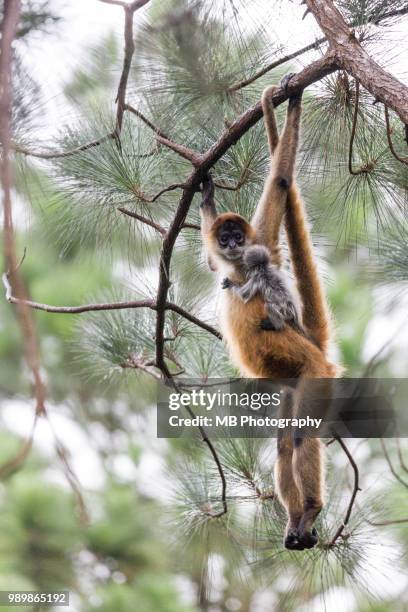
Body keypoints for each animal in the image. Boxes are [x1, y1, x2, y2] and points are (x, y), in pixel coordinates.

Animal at [199, 75, 336, 548]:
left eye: (238, 236)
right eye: (225, 237)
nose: (231, 244)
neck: (241, 267)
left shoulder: (262, 243)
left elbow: (279, 181)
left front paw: (293, 100)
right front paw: (206, 194)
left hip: (314, 374)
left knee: (299, 436)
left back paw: (310, 510)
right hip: (292, 385)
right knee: (282, 443)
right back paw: (296, 520)